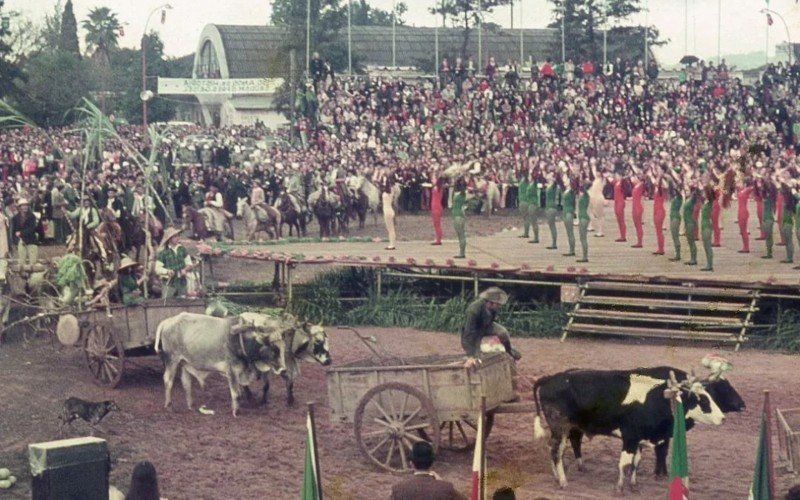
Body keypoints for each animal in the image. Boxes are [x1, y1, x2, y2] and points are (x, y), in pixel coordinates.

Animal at [155, 314, 290, 416]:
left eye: (283, 348)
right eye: (273, 348)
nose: (283, 369)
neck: (240, 340)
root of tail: (167, 321)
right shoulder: (232, 371)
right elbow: (236, 393)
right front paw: (236, 412)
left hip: (184, 363)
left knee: (186, 383)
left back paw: (191, 405)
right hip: (172, 360)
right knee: (168, 380)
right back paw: (169, 406)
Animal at [536, 364, 740, 492]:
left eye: (710, 395)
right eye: (702, 400)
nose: (722, 418)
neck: (658, 398)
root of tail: (549, 379)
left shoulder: (641, 439)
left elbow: (636, 463)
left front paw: (633, 485)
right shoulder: (630, 438)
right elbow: (625, 463)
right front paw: (620, 488)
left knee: (555, 448)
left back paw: (557, 476)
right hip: (560, 426)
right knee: (556, 452)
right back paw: (563, 481)